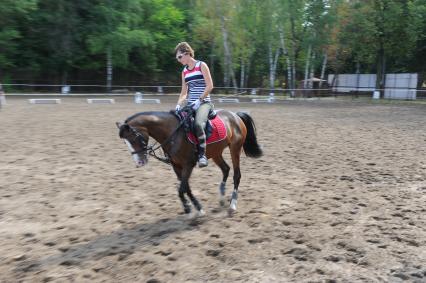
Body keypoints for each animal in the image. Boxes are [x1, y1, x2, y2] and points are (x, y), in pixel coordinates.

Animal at [117, 109, 262, 217]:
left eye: (133, 138)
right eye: (125, 141)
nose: (139, 162)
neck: (172, 132)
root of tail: (235, 115)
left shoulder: (188, 164)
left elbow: (181, 189)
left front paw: (189, 208)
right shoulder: (176, 166)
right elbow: (185, 187)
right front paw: (197, 208)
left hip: (235, 148)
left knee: (237, 175)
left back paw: (232, 205)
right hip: (216, 152)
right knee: (226, 169)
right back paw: (221, 199)